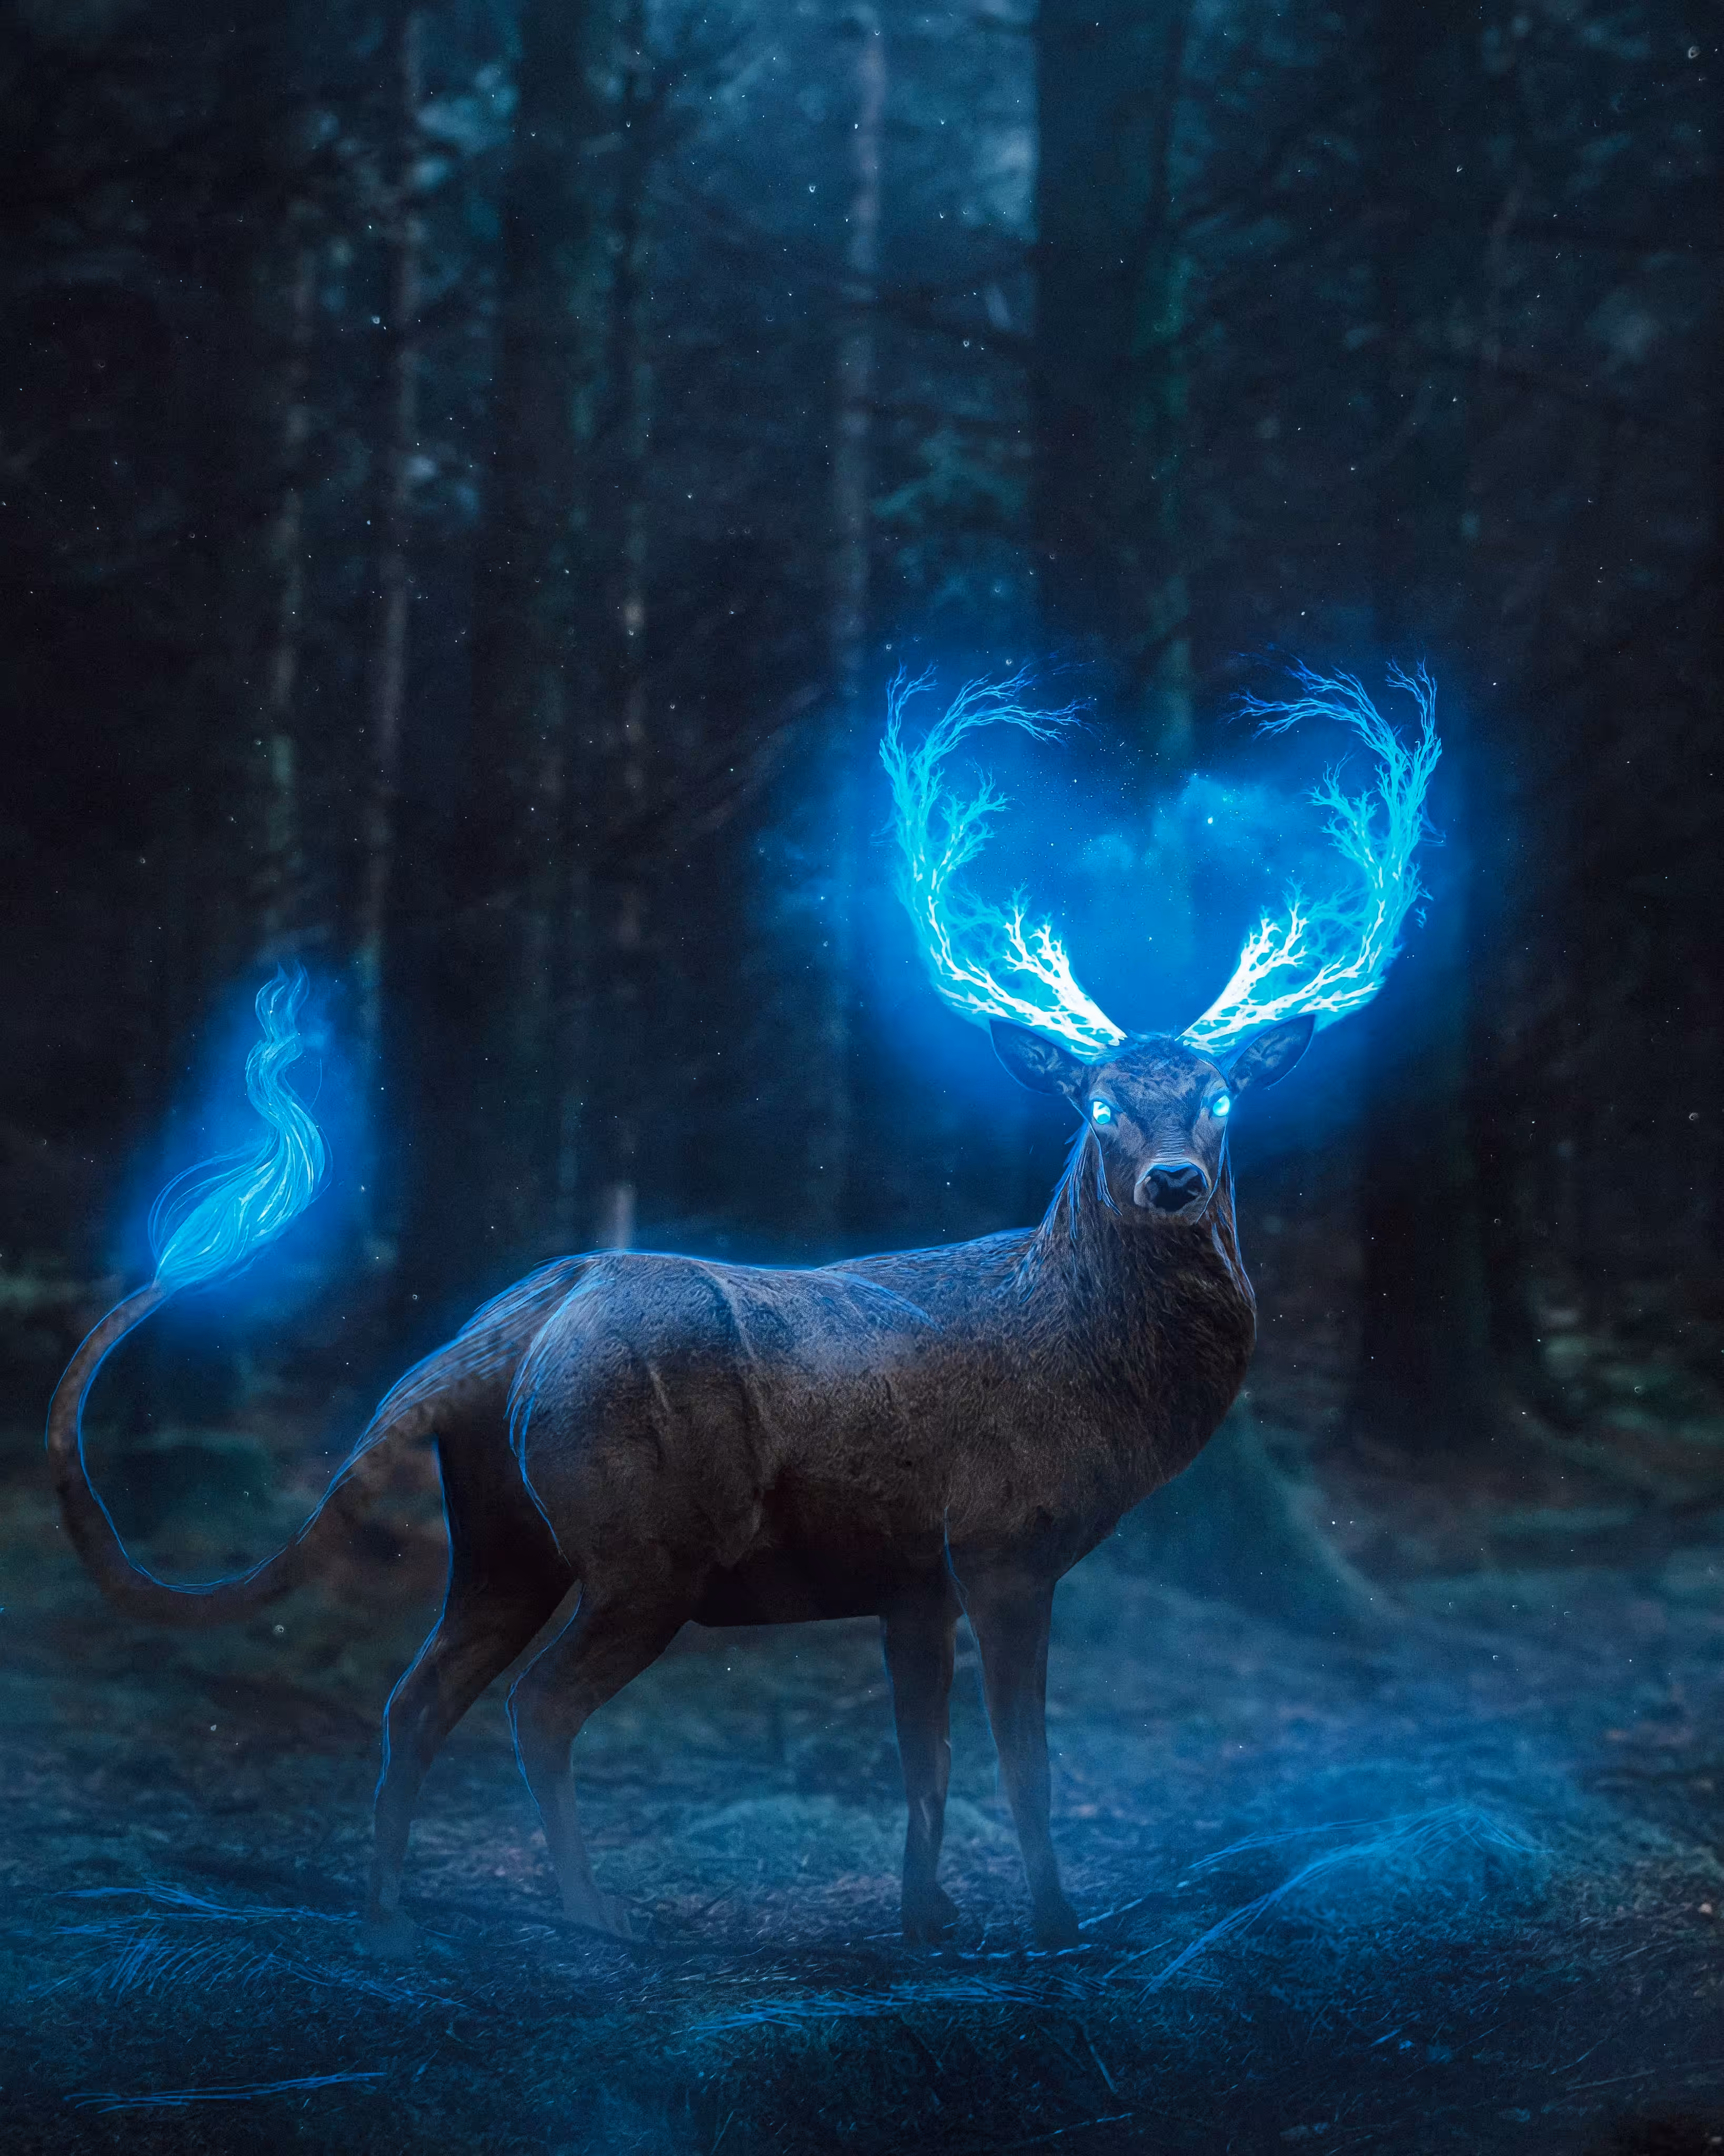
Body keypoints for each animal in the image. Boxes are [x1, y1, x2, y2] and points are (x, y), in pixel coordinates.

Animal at [48, 665, 1440, 1954]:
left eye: (1223, 1098)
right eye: (1099, 1105)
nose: (1175, 1182)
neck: (1093, 1379)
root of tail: (503, 1335)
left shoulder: (911, 1578)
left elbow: (927, 1765)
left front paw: (926, 1921)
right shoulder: (1003, 1540)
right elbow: (1026, 1765)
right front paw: (1054, 1926)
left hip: (504, 1529)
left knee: (417, 1694)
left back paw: (389, 1917)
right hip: (643, 1534)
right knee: (535, 1704)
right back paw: (592, 1921)